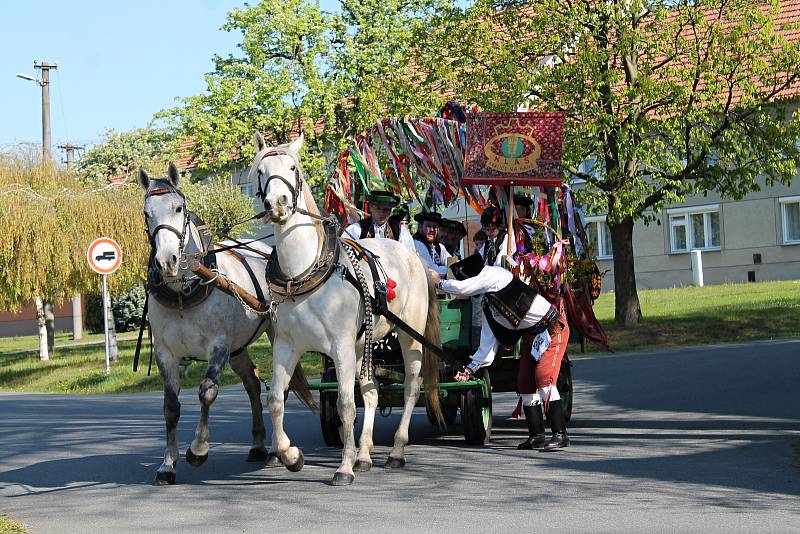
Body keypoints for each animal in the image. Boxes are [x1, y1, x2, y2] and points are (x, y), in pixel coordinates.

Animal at [141, 165, 306, 488]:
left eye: (179, 208)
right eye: (146, 214)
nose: (167, 261)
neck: (183, 293)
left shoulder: (218, 345)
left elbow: (207, 391)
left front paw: (198, 450)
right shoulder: (164, 352)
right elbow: (170, 406)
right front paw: (167, 465)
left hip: (274, 334)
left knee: (280, 387)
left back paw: (276, 451)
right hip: (239, 347)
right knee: (252, 384)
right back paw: (258, 445)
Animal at [253, 133, 444, 486]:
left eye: (293, 168)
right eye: (261, 171)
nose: (279, 203)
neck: (304, 273)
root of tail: (413, 257)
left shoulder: (339, 346)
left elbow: (344, 406)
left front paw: (343, 467)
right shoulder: (287, 346)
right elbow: (275, 400)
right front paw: (291, 456)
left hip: (409, 338)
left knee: (411, 388)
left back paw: (396, 452)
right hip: (360, 347)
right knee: (371, 393)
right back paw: (365, 455)